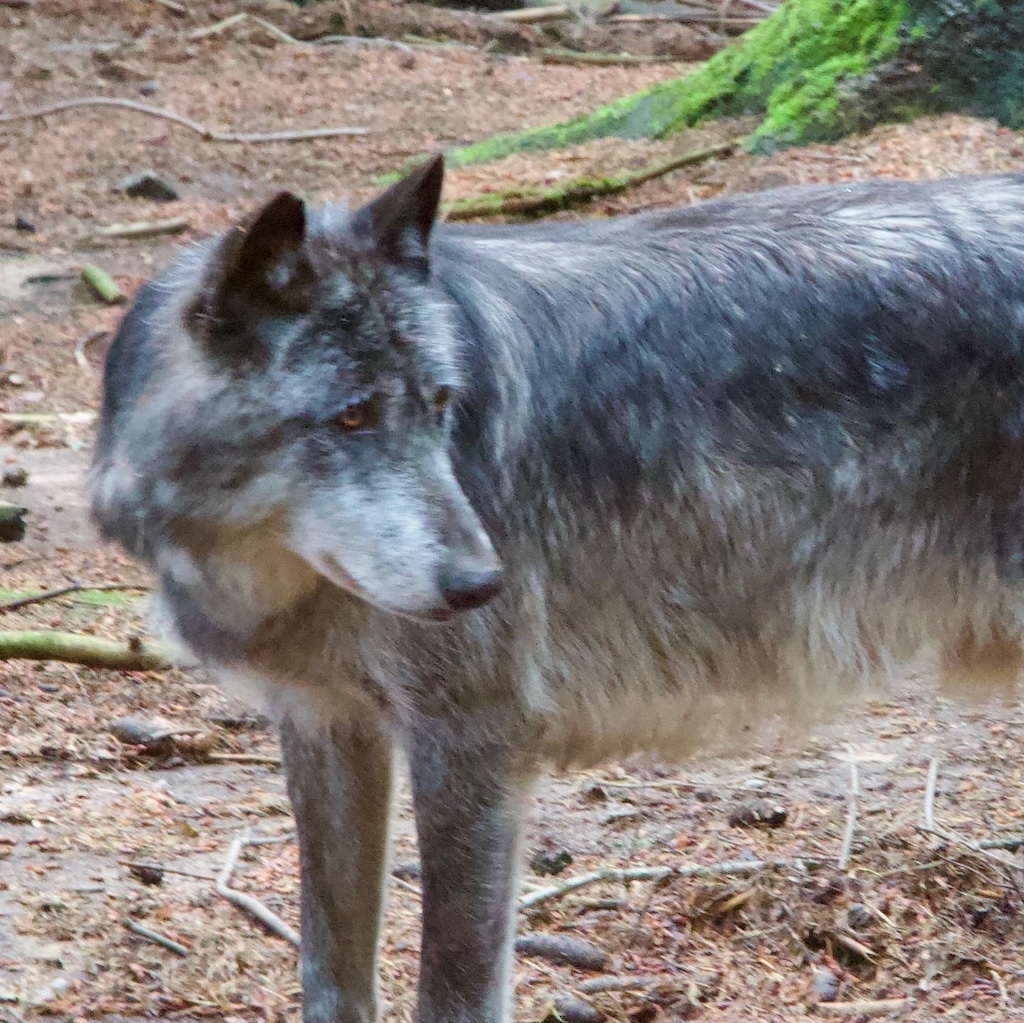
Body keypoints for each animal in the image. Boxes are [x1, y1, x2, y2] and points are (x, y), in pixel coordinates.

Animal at [90, 156, 1024, 1023]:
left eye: (440, 404)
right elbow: (331, 975)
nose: (482, 583)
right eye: (352, 416)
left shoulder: (471, 745)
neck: (271, 578)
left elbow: (453, 993)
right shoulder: (324, 725)